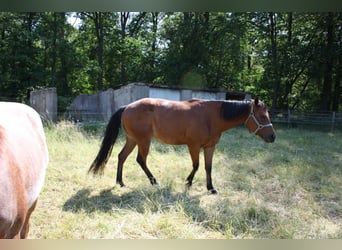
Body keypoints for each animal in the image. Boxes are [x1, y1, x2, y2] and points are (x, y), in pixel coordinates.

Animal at [89, 97, 276, 193]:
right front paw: (188, 182)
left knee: (122, 157)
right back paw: (154, 181)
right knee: (140, 160)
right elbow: (196, 165)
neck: (210, 117)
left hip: (132, 140)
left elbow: (208, 167)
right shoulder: (193, 146)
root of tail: (127, 106)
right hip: (143, 141)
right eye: (262, 116)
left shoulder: (210, 147)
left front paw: (211, 188)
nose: (273, 137)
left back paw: (120, 182)